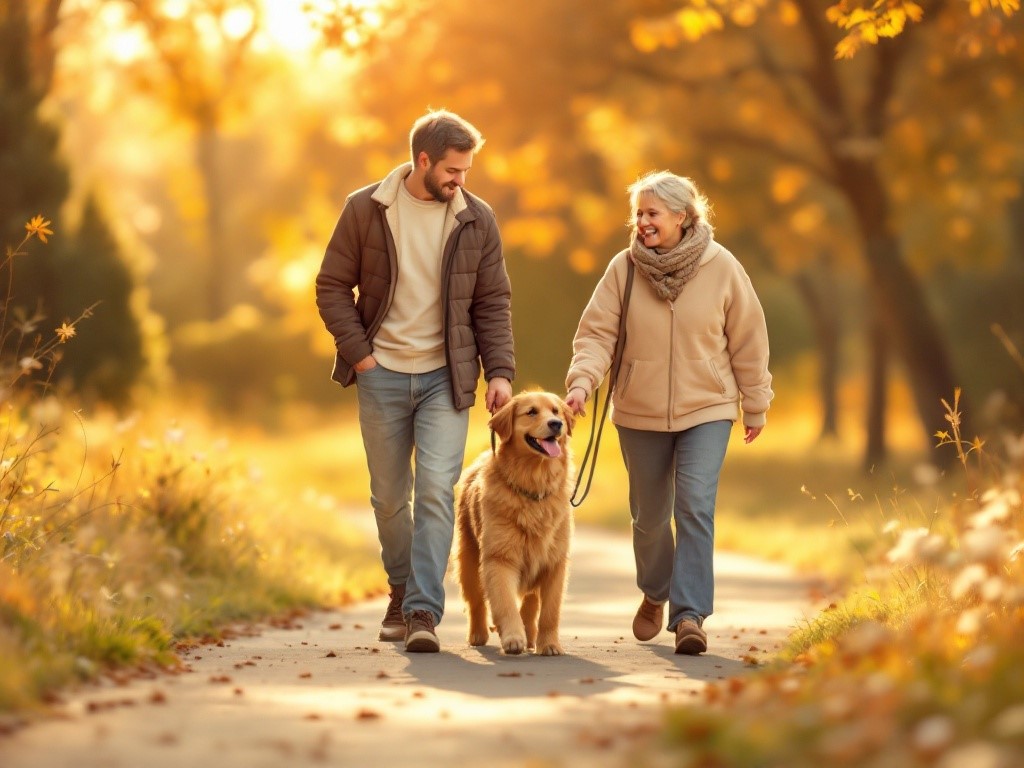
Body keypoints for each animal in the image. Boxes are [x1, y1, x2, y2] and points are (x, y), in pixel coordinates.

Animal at [456, 393, 577, 659]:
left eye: (556, 411)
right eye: (531, 412)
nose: (556, 424)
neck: (533, 485)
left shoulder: (555, 563)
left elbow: (550, 612)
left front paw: (549, 644)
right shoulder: (499, 558)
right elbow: (504, 603)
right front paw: (513, 637)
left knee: (531, 601)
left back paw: (531, 635)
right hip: (468, 560)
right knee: (476, 601)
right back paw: (478, 634)